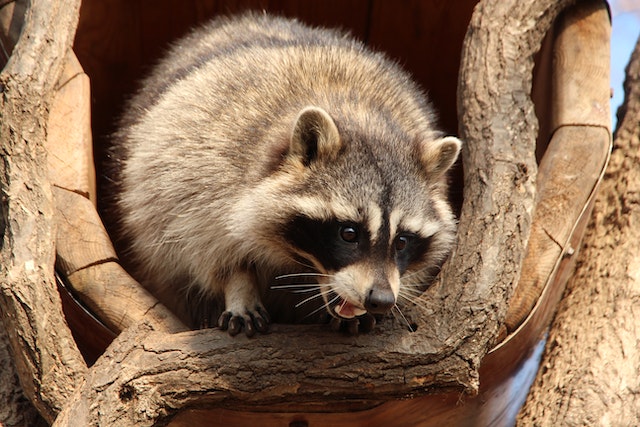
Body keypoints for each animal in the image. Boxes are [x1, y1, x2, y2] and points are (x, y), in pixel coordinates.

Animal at [107, 13, 462, 338]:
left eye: (402, 241)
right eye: (348, 233)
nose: (381, 300)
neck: (361, 118)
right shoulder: (197, 170)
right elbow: (203, 245)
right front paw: (238, 285)